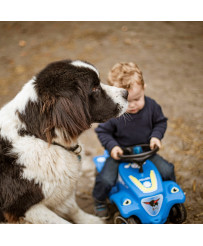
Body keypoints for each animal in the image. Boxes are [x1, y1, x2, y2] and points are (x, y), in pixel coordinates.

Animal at [0, 59, 127, 223]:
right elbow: (61, 222)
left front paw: (90, 221)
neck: (36, 134)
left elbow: (72, 208)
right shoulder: (20, 208)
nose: (127, 93)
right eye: (94, 88)